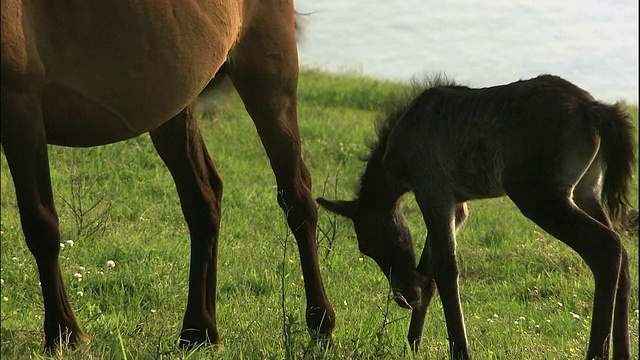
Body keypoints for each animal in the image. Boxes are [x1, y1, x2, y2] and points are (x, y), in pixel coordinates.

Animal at [1, 0, 336, 350]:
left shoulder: (20, 108)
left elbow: (40, 225)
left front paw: (64, 333)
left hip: (268, 77)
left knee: (297, 201)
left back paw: (320, 323)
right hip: (175, 101)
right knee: (204, 199)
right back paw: (199, 331)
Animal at [318, 74, 636, 358]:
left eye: (370, 245)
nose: (405, 296)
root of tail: (592, 109)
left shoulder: (432, 188)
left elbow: (445, 269)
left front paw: (459, 349)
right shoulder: (457, 206)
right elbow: (430, 269)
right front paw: (413, 343)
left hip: (538, 194)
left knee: (606, 247)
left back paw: (597, 352)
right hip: (586, 190)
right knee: (622, 252)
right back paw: (622, 351)